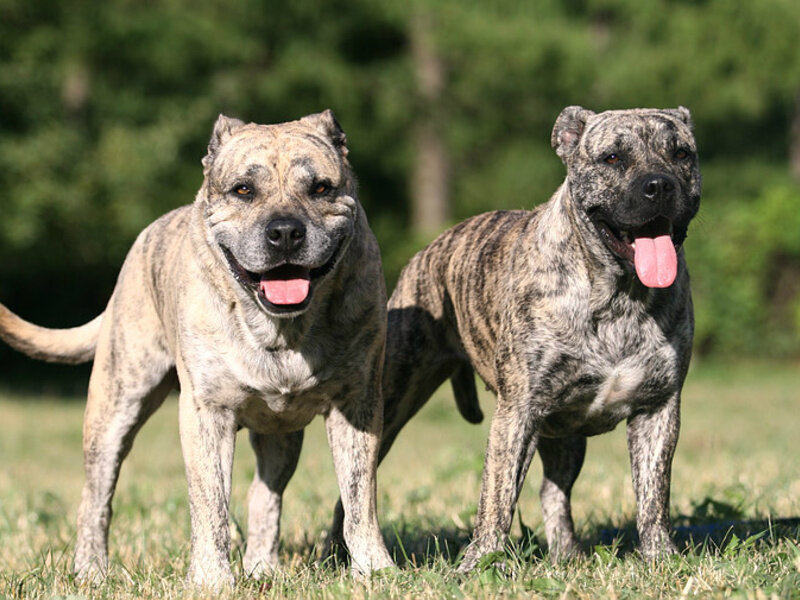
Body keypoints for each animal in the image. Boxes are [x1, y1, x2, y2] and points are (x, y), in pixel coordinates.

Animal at [0, 110, 394, 588]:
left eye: (320, 188)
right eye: (243, 189)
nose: (284, 231)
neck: (282, 331)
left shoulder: (356, 406)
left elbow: (359, 498)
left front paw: (375, 569)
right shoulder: (206, 413)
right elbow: (210, 504)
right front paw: (211, 578)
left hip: (281, 437)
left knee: (264, 496)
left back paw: (262, 568)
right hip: (114, 408)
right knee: (95, 499)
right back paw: (91, 571)